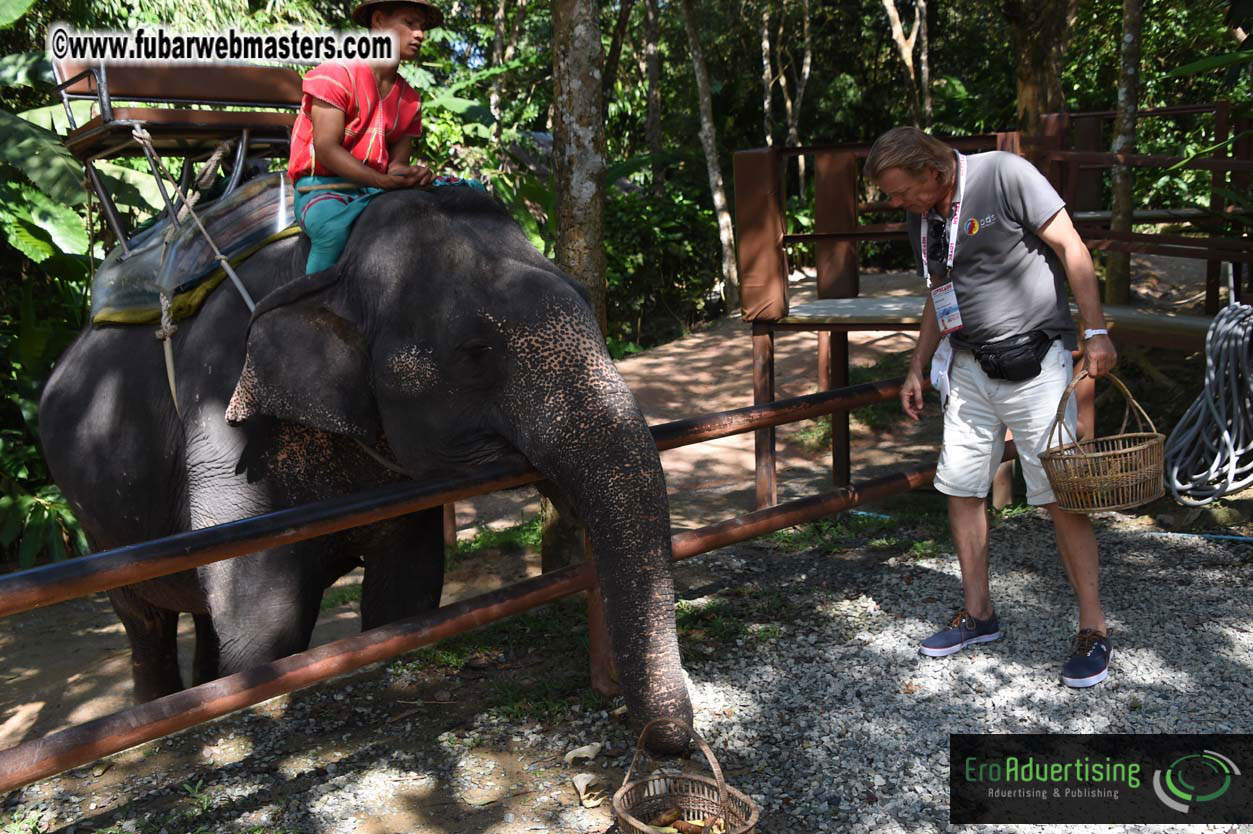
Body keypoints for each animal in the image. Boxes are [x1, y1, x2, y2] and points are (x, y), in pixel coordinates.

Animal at [38, 185, 693, 750]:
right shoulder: (222, 430)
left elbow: (407, 593)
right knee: (143, 619)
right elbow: (264, 621)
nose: (667, 742)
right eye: (476, 352)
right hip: (95, 521)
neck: (329, 267)